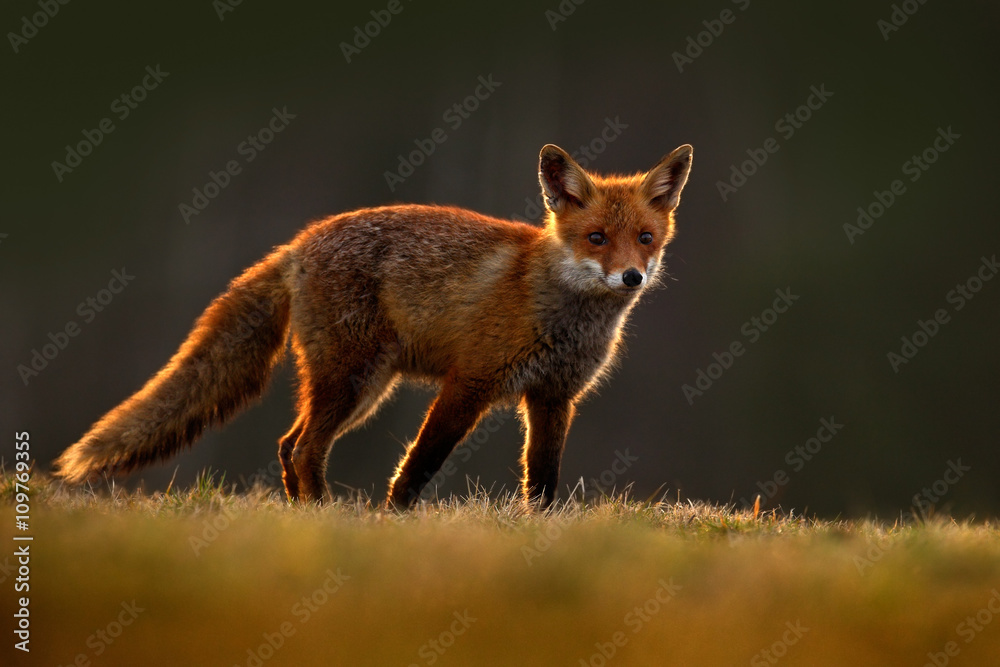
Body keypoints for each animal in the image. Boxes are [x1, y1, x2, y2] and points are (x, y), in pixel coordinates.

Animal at [54, 142, 692, 506]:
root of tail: (299, 242)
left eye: (645, 238)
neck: (561, 311)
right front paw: (394, 521)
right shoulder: (470, 382)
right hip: (353, 379)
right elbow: (421, 462)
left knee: (289, 445)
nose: (632, 277)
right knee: (304, 449)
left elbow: (543, 480)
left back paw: (303, 513)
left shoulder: (554, 396)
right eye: (596, 238)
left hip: (363, 388)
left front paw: (540, 531)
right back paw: (324, 516)